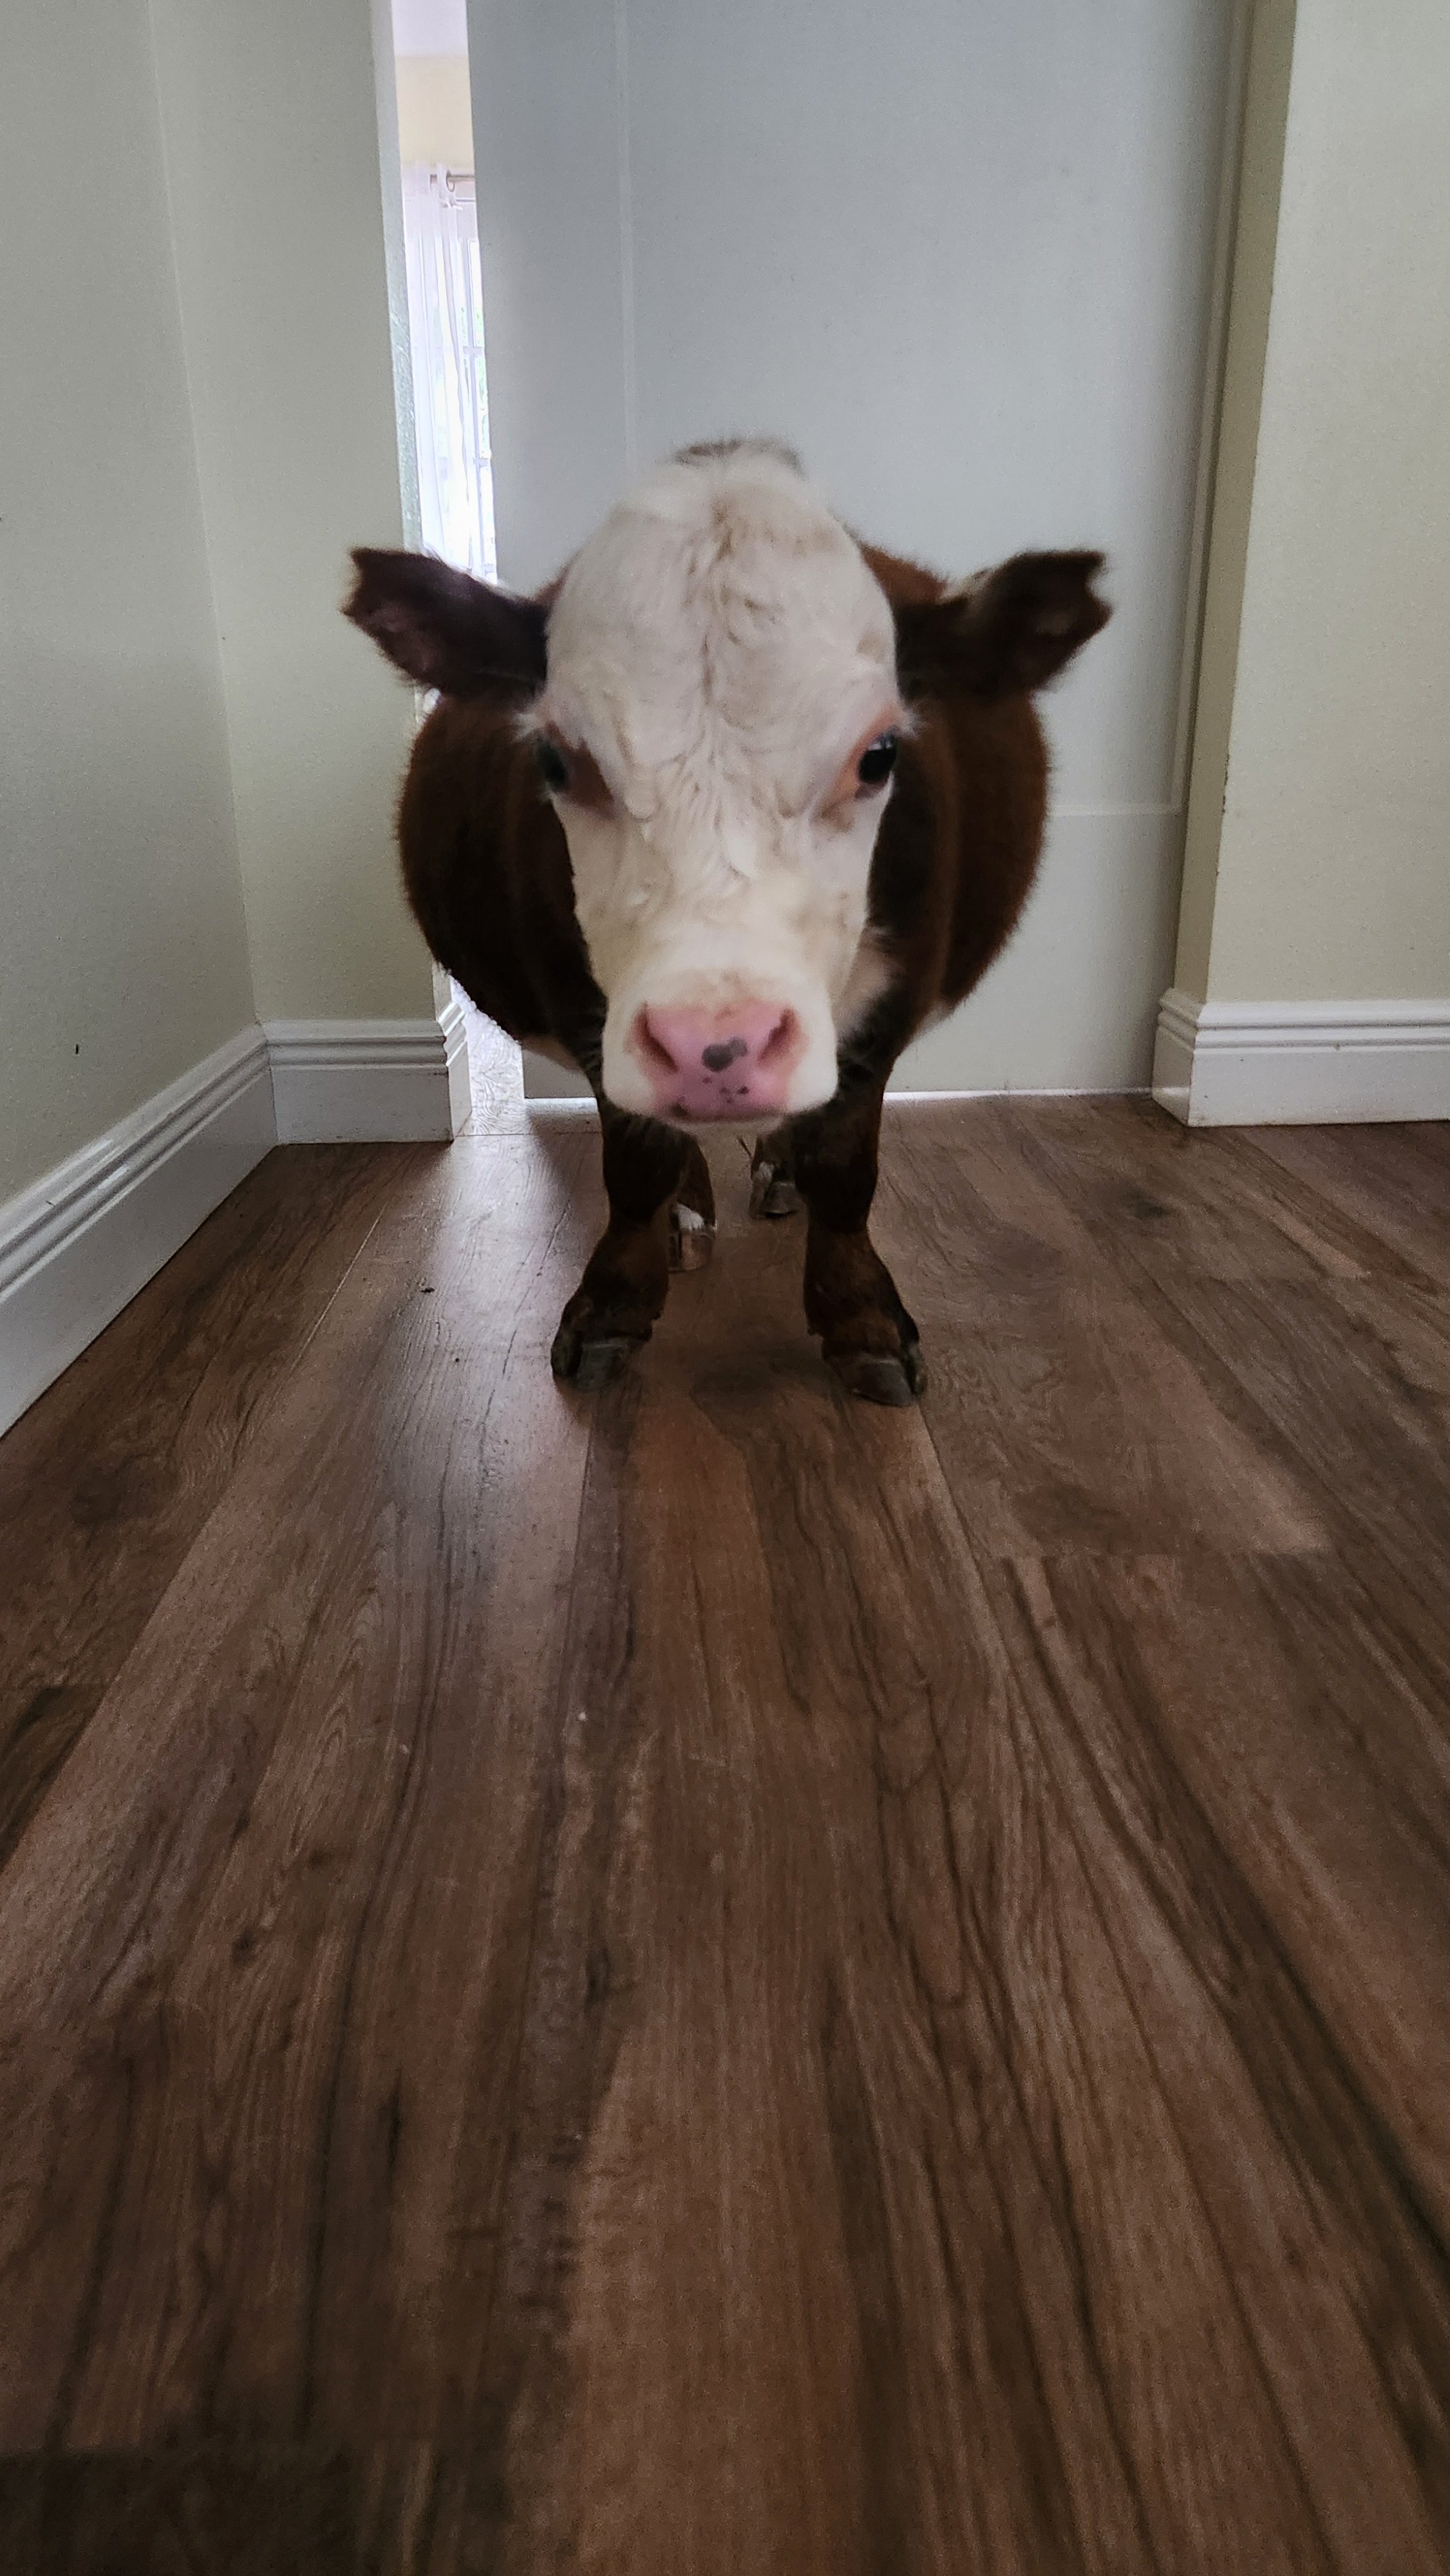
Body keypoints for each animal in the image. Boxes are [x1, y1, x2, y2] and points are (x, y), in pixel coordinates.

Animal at [344, 439, 1109, 1405]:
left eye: (879, 755)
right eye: (556, 758)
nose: (716, 1045)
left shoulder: (891, 1002)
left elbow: (844, 1163)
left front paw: (860, 1317)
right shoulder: (585, 1009)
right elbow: (634, 1162)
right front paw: (616, 1303)